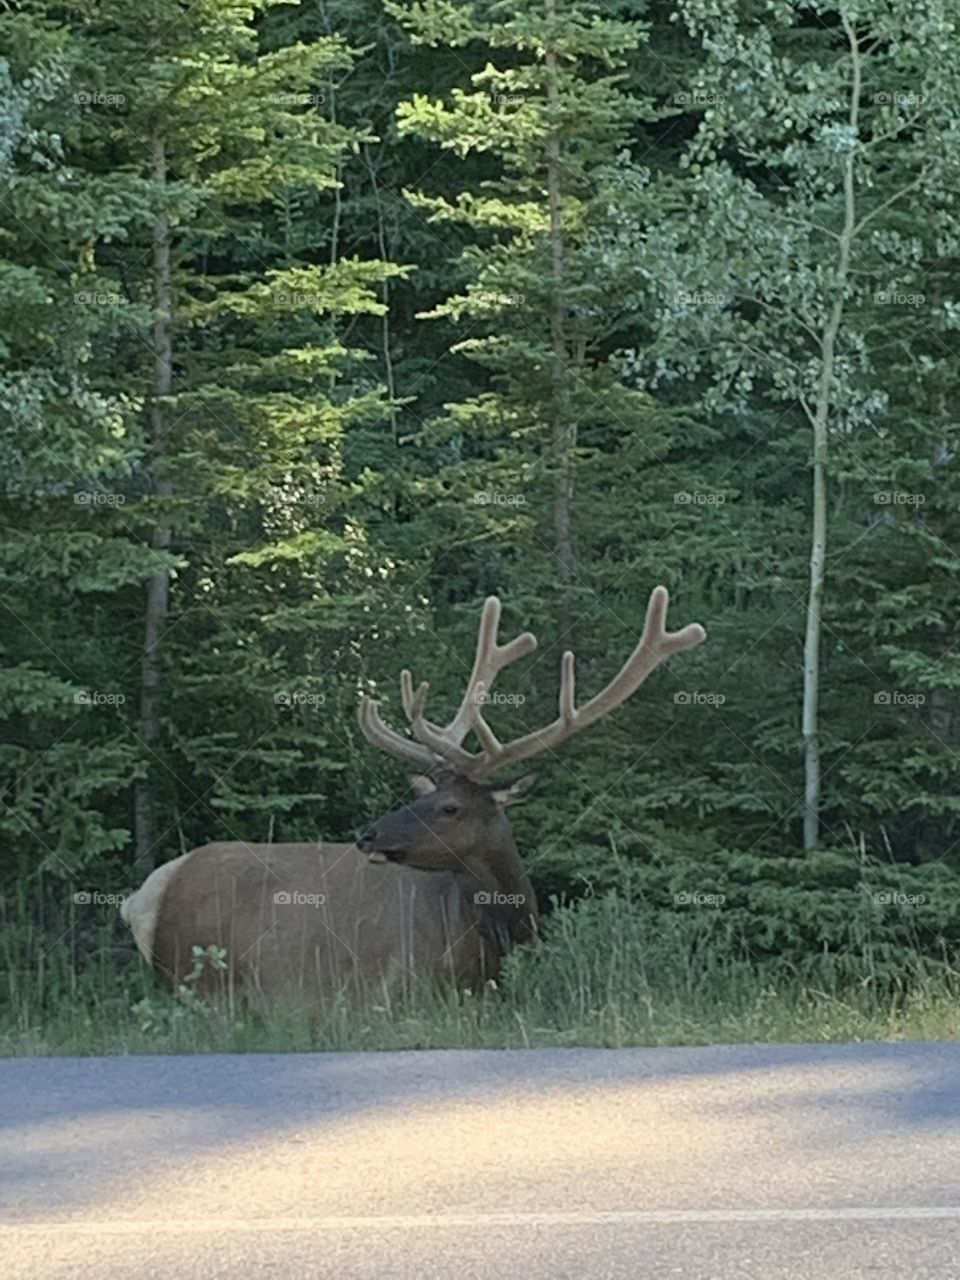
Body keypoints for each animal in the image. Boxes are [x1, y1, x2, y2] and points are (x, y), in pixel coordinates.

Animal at [120, 586, 705, 1005]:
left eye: (448, 806)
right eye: (424, 797)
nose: (367, 835)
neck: (499, 942)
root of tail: (141, 897)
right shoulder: (395, 989)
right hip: (203, 977)